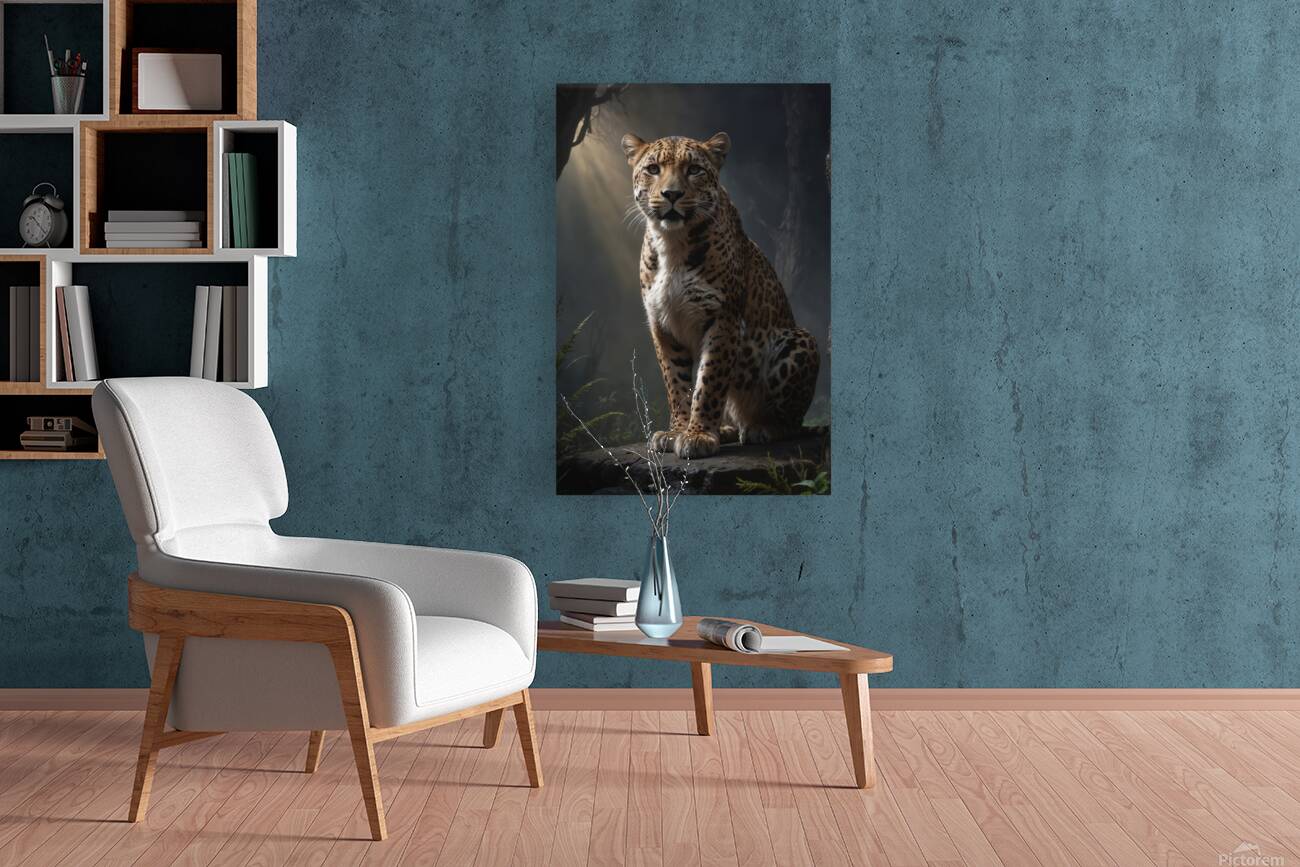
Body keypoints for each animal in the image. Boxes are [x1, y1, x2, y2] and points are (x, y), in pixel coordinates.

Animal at [621, 130, 821, 460]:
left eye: (694, 170)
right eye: (653, 169)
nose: (672, 194)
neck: (672, 241)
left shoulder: (722, 318)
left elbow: (709, 381)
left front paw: (698, 435)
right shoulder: (662, 324)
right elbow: (676, 384)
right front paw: (677, 431)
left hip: (799, 339)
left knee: (793, 423)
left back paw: (762, 428)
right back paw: (726, 429)